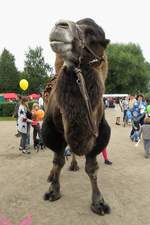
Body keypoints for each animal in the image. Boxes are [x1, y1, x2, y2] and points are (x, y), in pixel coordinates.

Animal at [41, 18, 110, 215]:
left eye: (94, 35)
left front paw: (98, 203)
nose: (60, 25)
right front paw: (53, 191)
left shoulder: (100, 134)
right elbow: (57, 160)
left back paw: (73, 164)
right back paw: (51, 175)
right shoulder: (52, 132)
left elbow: (92, 168)